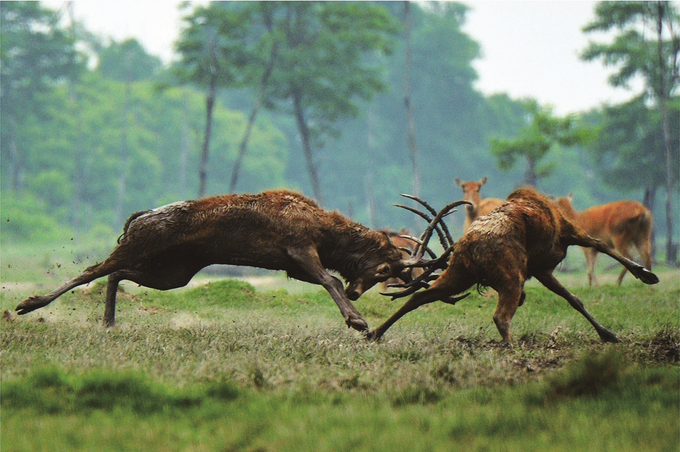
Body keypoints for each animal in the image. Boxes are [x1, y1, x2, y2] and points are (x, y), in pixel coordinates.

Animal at [15, 189, 448, 334]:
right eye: (385, 268)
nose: (361, 293)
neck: (328, 233)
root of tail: (138, 217)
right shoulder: (299, 249)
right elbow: (331, 280)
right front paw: (357, 322)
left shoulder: (292, 266)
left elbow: (329, 280)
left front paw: (355, 317)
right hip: (143, 249)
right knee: (91, 271)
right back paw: (28, 304)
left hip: (174, 272)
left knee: (117, 274)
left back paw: (108, 322)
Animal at [372, 189, 660, 344]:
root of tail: (470, 246)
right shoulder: (567, 233)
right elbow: (601, 245)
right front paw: (645, 275)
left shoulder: (541, 269)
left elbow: (573, 299)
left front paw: (608, 334)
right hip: (512, 275)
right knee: (501, 316)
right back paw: (511, 348)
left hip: (460, 273)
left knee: (418, 297)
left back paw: (374, 332)